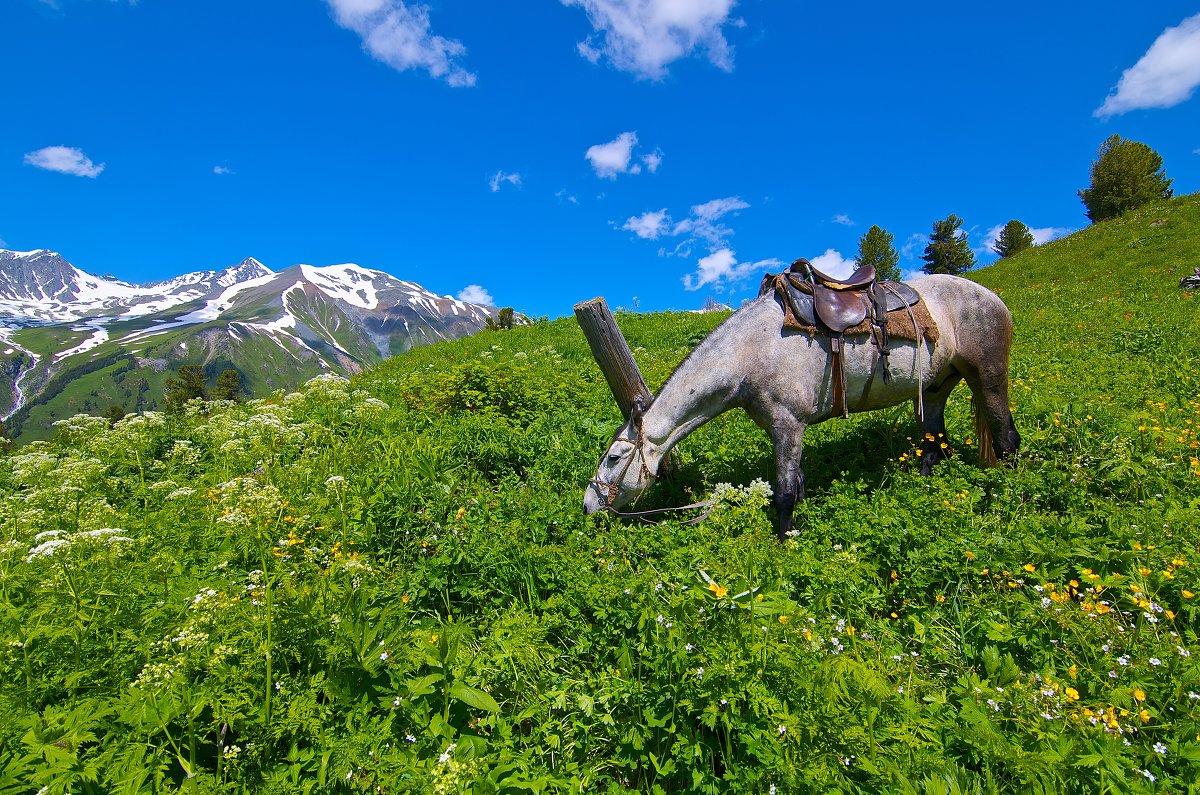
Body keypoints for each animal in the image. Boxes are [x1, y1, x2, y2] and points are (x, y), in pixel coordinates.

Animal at [585, 273, 1017, 542]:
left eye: (614, 457)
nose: (588, 505)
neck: (749, 354)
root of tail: (994, 298)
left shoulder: (788, 425)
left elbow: (785, 494)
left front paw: (783, 543)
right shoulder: (787, 429)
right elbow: (799, 486)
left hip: (989, 377)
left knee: (1006, 437)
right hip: (936, 388)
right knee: (933, 443)